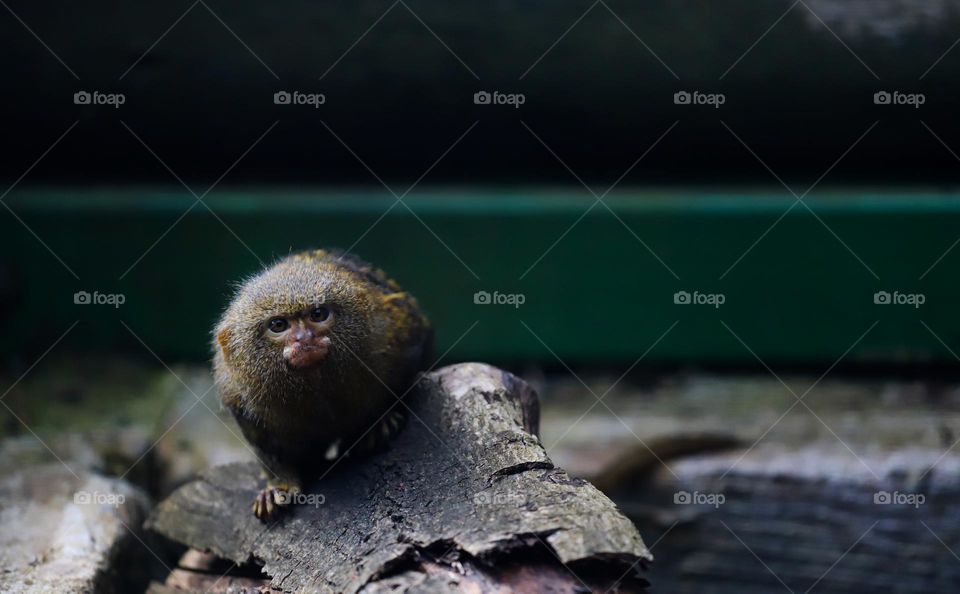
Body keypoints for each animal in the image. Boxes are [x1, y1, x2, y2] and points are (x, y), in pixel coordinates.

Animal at [212, 249, 432, 520]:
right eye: (278, 325)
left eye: (318, 314)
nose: (305, 339)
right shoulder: (238, 396)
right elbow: (268, 449)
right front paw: (277, 487)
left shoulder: (397, 333)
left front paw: (381, 421)